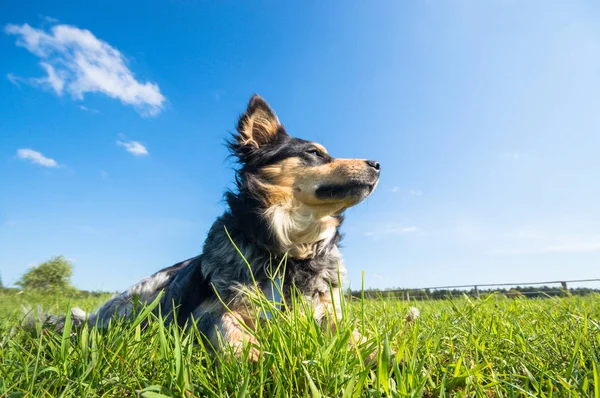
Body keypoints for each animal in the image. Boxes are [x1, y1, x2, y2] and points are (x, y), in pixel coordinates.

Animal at [36, 95, 380, 360]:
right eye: (314, 153)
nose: (377, 164)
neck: (288, 252)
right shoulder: (205, 314)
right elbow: (227, 325)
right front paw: (254, 360)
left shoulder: (327, 314)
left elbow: (359, 337)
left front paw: (383, 359)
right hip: (142, 299)